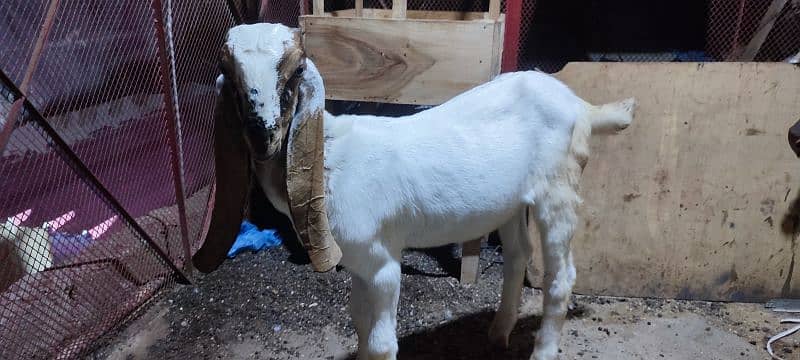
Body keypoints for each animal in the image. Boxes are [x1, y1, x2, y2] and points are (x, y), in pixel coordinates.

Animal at [219, 23, 636, 360]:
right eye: (231, 75)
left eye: (295, 71)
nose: (263, 137)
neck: (332, 158)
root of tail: (580, 105)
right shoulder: (357, 260)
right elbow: (359, 323)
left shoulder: (382, 261)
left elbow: (380, 343)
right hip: (511, 202)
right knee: (519, 255)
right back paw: (498, 333)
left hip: (558, 191)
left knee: (561, 277)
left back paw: (542, 350)